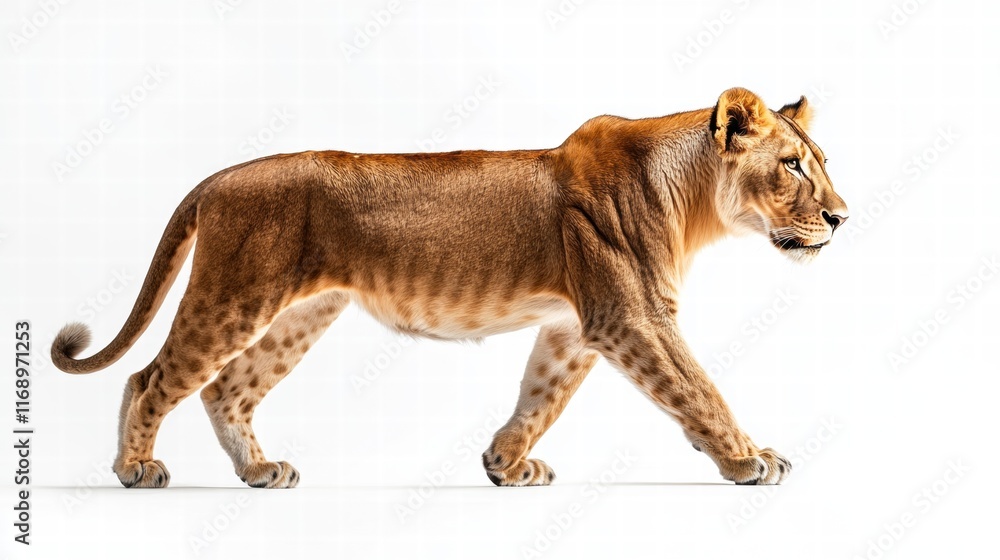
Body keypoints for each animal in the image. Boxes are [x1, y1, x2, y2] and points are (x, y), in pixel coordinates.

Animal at [51, 87, 847, 488]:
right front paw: (749, 459)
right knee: (152, 377)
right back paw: (135, 469)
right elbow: (698, 387)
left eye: (823, 160)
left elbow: (541, 396)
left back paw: (258, 471)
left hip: (300, 315)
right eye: (792, 165)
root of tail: (216, 180)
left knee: (226, 388)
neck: (693, 201)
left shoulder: (575, 326)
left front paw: (505, 466)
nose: (842, 217)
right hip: (233, 296)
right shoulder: (633, 316)